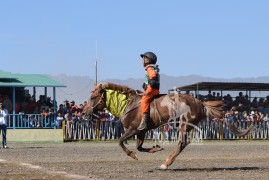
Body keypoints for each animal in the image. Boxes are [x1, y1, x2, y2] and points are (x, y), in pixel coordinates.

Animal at [81, 82, 245, 169]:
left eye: (93, 97)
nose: (83, 112)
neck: (128, 104)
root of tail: (200, 103)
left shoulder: (133, 129)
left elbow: (121, 141)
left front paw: (133, 155)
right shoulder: (141, 131)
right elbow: (139, 146)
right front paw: (156, 148)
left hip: (184, 125)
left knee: (181, 143)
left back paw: (166, 163)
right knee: (184, 143)